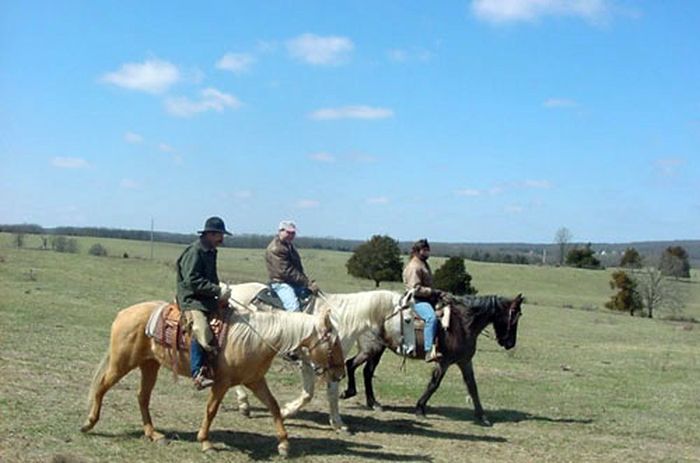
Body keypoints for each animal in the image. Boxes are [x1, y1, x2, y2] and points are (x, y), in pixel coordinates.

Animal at [81, 300, 344, 456]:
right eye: (334, 342)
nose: (340, 373)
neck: (255, 340)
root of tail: (124, 313)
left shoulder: (255, 381)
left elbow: (274, 407)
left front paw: (284, 443)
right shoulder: (221, 383)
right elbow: (211, 410)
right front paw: (205, 442)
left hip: (149, 365)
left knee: (142, 397)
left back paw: (154, 435)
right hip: (122, 362)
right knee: (102, 386)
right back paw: (89, 423)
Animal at [230, 284, 416, 434]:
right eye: (408, 320)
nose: (411, 349)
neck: (338, 321)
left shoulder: (334, 365)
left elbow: (332, 394)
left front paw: (338, 424)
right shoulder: (308, 364)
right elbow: (308, 394)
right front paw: (285, 412)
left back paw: (244, 405)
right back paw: (244, 404)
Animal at [342, 296, 524, 426]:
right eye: (514, 317)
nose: (510, 343)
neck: (463, 324)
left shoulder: (465, 362)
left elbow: (472, 387)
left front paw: (482, 416)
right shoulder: (444, 362)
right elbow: (434, 384)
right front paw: (420, 409)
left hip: (377, 350)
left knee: (367, 372)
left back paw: (373, 403)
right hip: (371, 349)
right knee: (351, 364)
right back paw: (349, 392)